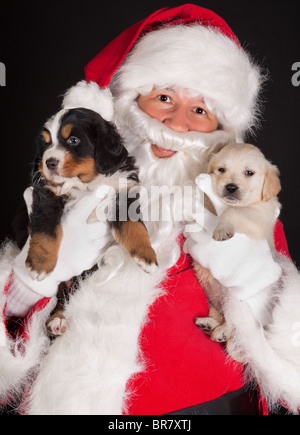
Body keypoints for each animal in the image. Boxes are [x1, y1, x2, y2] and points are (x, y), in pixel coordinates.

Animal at [195, 145, 282, 346]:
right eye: (221, 169)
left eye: (249, 173)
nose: (230, 187)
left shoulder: (259, 216)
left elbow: (233, 211)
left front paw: (222, 228)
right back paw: (209, 324)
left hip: (237, 299)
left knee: (237, 324)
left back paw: (221, 331)